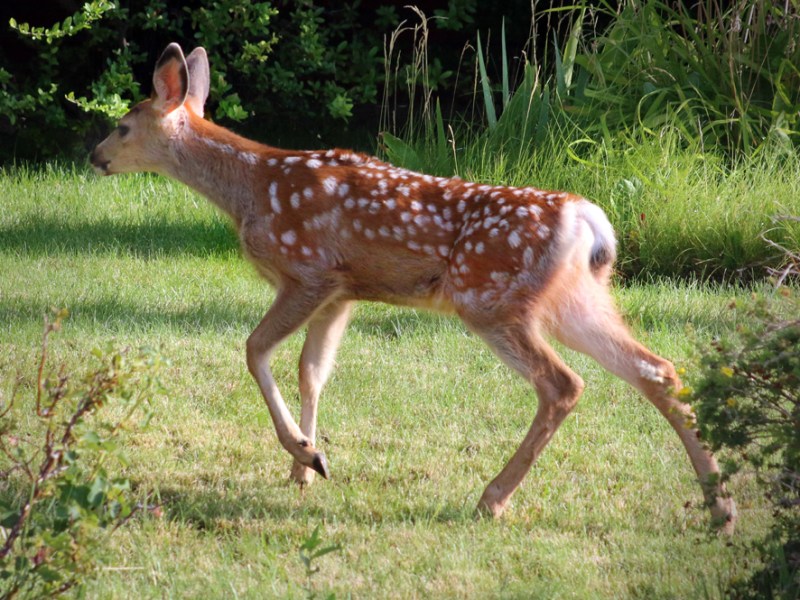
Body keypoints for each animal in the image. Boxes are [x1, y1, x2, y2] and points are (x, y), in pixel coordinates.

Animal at [90, 43, 737, 533]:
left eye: (121, 126)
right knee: (657, 370)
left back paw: (492, 498)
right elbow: (311, 371)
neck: (250, 189)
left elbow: (255, 351)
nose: (94, 155)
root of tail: (587, 219)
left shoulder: (308, 271)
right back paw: (721, 507)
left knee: (563, 384)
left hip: (490, 298)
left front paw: (303, 452)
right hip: (575, 299)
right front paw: (307, 464)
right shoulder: (342, 292)